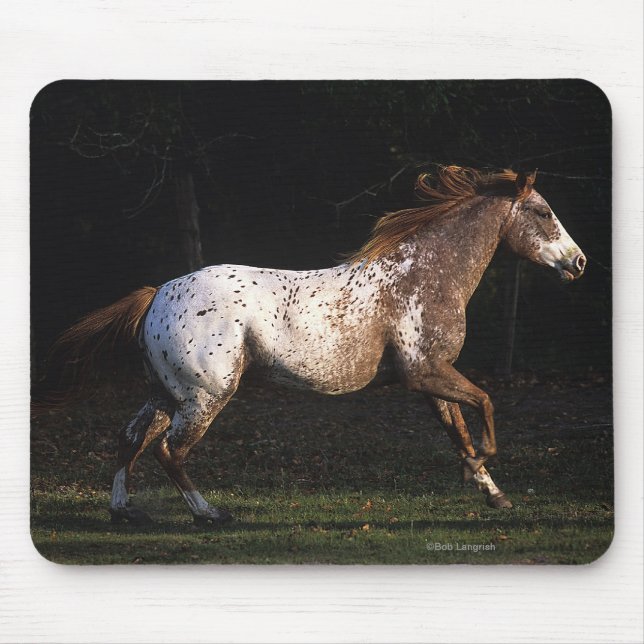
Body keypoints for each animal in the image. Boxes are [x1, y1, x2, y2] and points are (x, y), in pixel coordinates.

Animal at [49, 166, 586, 526]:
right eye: (543, 212)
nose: (579, 262)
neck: (424, 276)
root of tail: (158, 294)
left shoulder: (433, 379)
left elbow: (460, 432)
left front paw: (493, 494)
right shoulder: (425, 373)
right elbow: (486, 407)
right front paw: (479, 471)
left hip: (165, 394)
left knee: (130, 438)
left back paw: (124, 511)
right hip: (205, 396)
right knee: (170, 451)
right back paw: (210, 514)